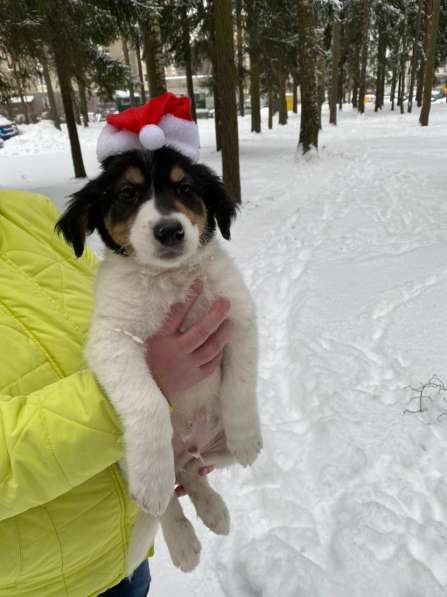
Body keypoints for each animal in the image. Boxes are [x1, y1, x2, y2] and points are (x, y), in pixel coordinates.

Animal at [56, 144, 262, 572]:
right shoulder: (111, 340)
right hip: (122, 456)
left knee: (192, 470)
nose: (170, 230)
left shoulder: (238, 313)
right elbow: (148, 400)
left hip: (212, 452)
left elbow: (240, 384)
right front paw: (153, 480)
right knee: (168, 495)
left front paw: (247, 439)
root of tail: (187, 444)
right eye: (127, 193)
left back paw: (214, 510)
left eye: (185, 187)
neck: (169, 280)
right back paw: (182, 539)